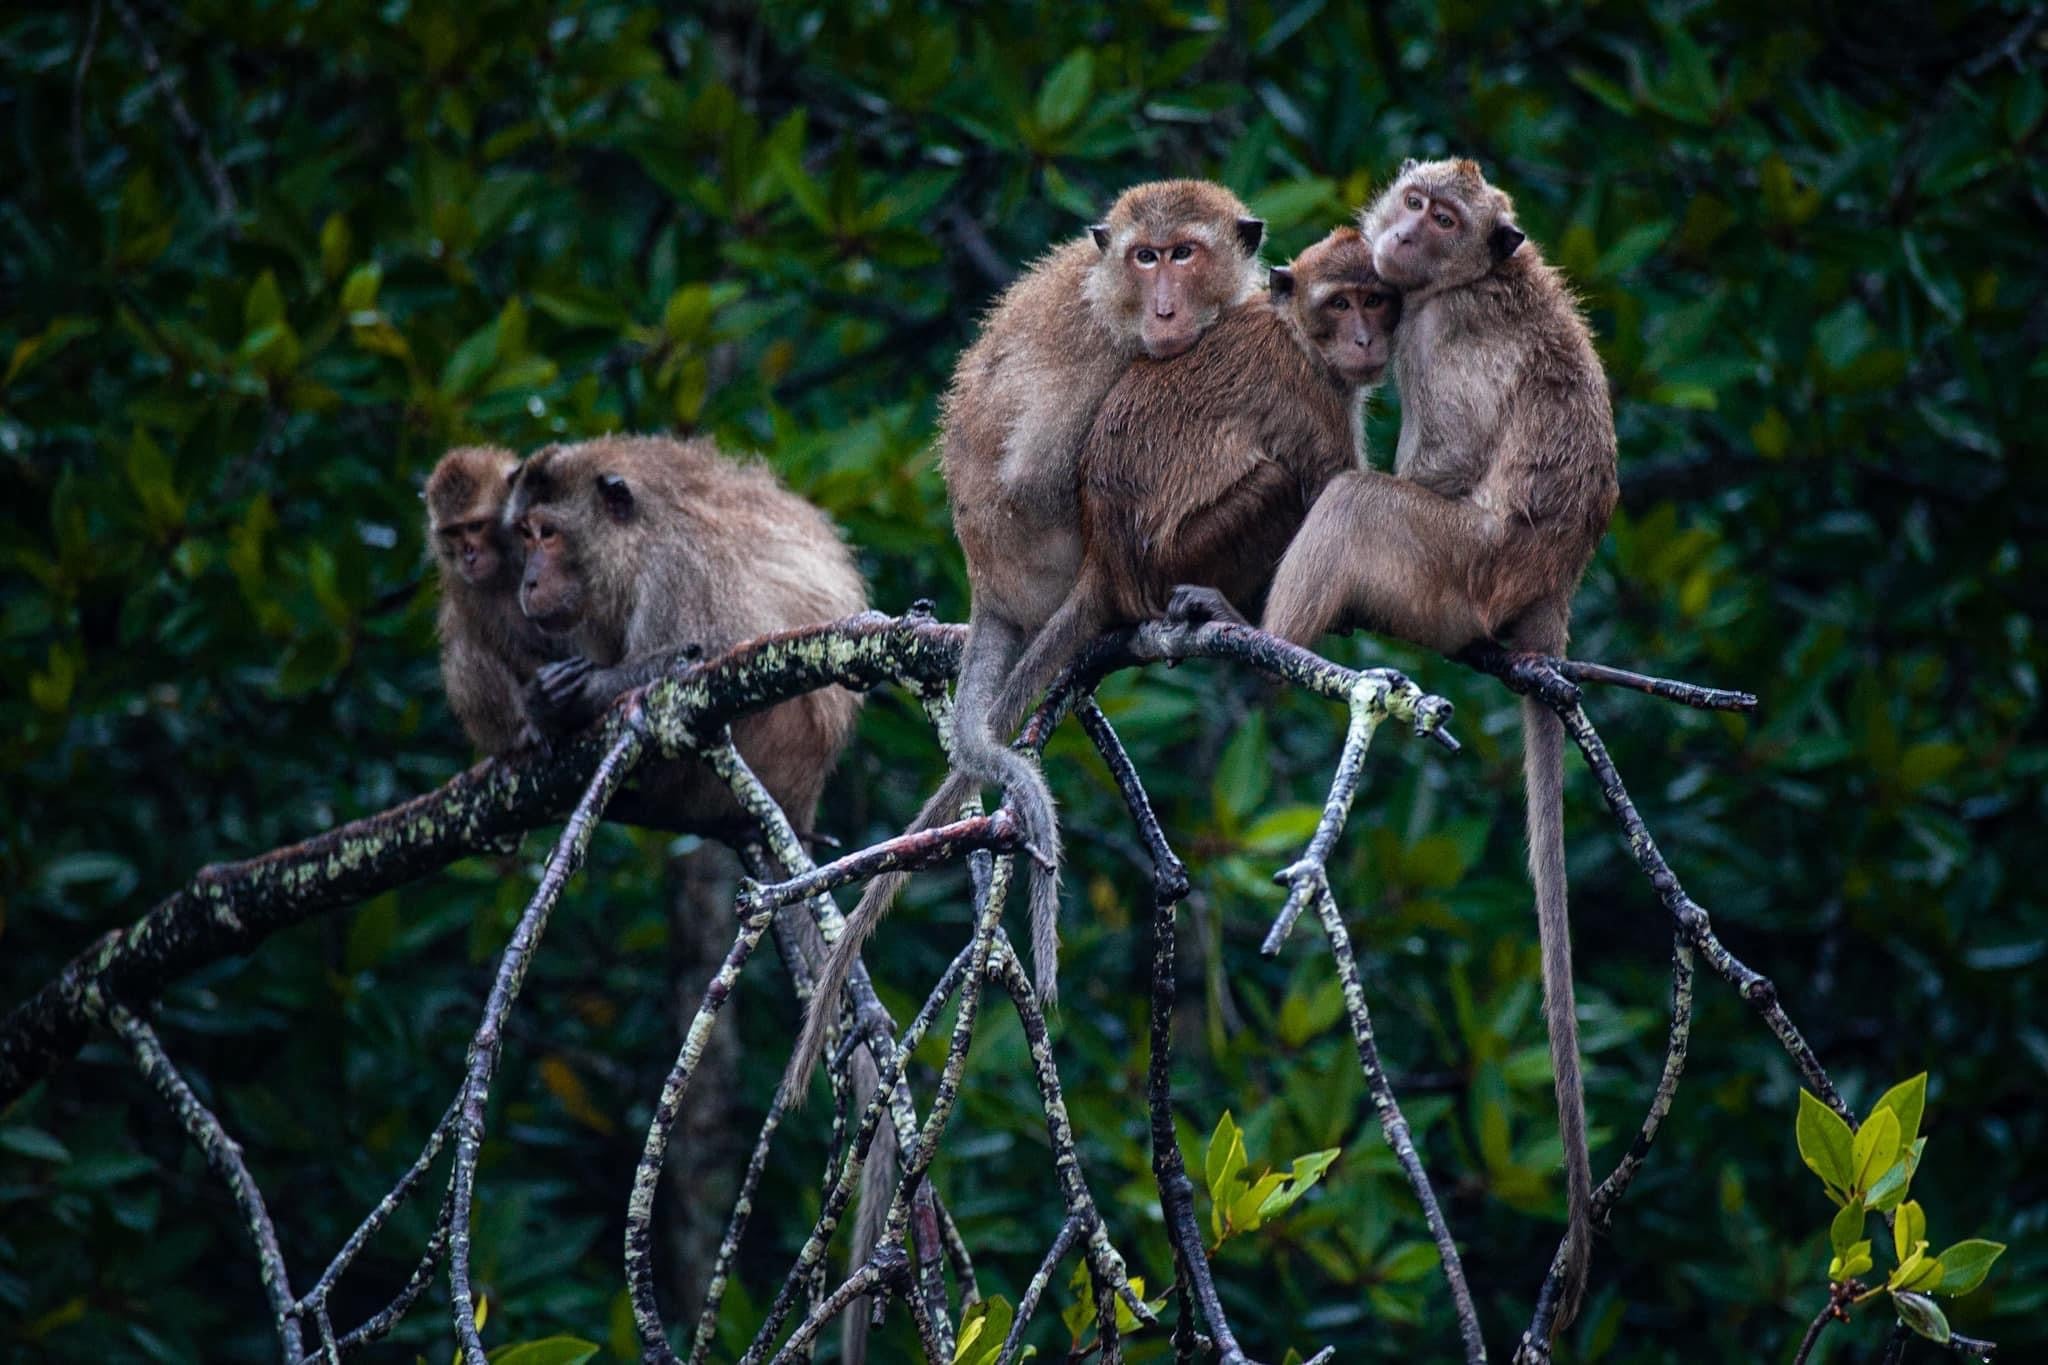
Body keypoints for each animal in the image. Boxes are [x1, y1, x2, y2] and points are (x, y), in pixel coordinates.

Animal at [423, 444, 565, 753]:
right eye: (453, 532)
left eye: (475, 526)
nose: (469, 555)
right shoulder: (461, 581)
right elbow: (505, 642)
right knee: (464, 644)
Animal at [790, 229, 1400, 1096]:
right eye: (1340, 304)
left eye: (1375, 300)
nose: (1364, 339)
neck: (1295, 334)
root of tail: (1109, 566)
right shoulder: (1315, 400)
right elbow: (1330, 488)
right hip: (1193, 545)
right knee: (1284, 485)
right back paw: (1225, 611)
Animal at [1179, 157, 1622, 1334]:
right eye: (1419, 198)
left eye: (1446, 218)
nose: (1408, 234)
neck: (1470, 278)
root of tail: (1546, 601)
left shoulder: (1436, 332)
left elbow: (1435, 462)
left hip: (1449, 578)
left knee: (1361, 506)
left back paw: (1270, 638)